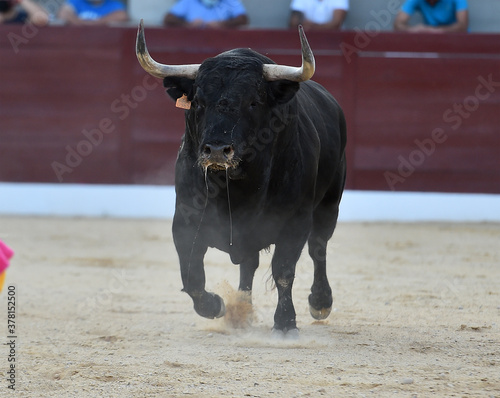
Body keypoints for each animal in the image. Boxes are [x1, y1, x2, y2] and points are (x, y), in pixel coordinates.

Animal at [137, 21, 348, 336]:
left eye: (254, 102)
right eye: (198, 102)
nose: (216, 149)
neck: (237, 187)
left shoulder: (295, 221)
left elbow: (284, 270)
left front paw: (286, 323)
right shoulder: (185, 220)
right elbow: (192, 275)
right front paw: (216, 306)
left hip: (329, 204)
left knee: (318, 247)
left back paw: (320, 302)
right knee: (249, 264)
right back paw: (243, 311)